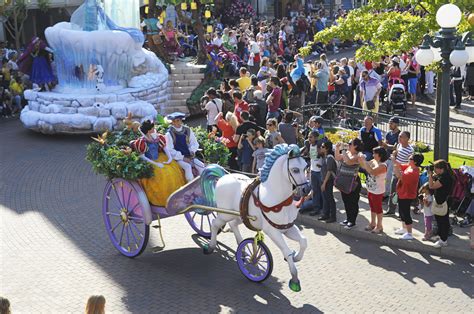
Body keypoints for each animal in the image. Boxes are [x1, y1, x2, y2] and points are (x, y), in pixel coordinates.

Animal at [201, 145, 310, 292]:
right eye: (295, 169)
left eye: (305, 167)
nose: (307, 189)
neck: (277, 200)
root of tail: (224, 176)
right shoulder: (272, 231)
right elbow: (287, 251)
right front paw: (294, 280)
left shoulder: (287, 228)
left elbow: (303, 242)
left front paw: (297, 257)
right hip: (225, 214)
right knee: (214, 223)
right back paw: (211, 247)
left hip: (240, 215)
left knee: (233, 225)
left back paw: (242, 251)